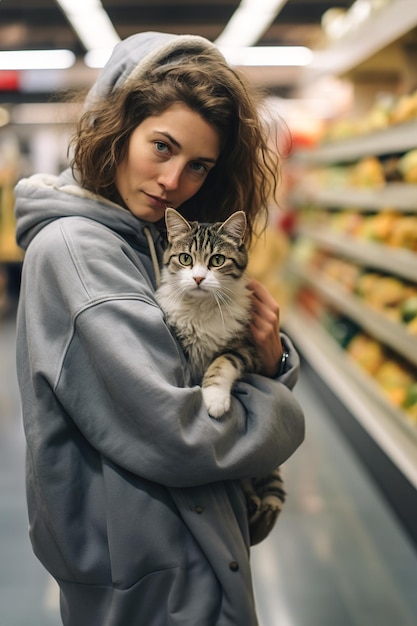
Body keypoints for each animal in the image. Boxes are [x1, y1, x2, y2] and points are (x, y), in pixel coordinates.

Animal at [156, 207, 286, 544]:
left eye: (217, 260)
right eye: (185, 259)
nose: (199, 278)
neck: (202, 308)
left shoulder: (245, 348)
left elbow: (222, 364)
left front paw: (214, 398)